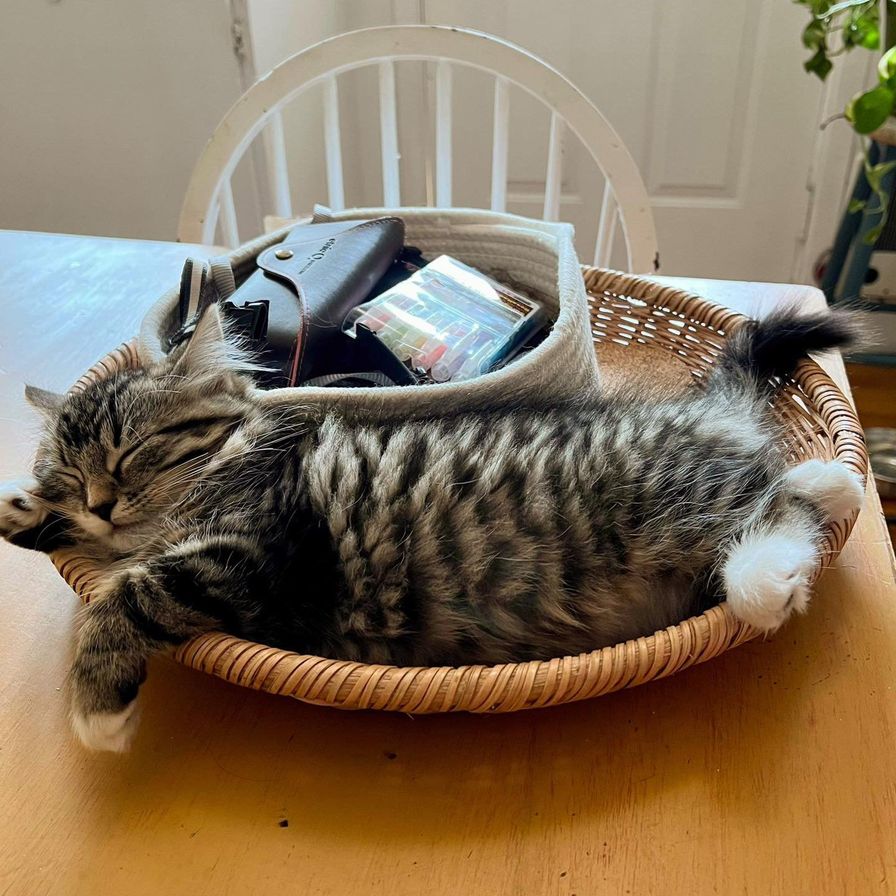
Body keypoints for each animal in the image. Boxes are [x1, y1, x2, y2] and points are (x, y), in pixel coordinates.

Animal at [1, 304, 868, 752]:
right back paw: (831, 485)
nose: (100, 501)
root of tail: (699, 414)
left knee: (769, 503)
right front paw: (27, 513)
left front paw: (97, 710)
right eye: (73, 476)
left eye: (133, 453)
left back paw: (774, 568)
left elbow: (128, 595)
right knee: (776, 482)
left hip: (663, 502)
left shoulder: (252, 546)